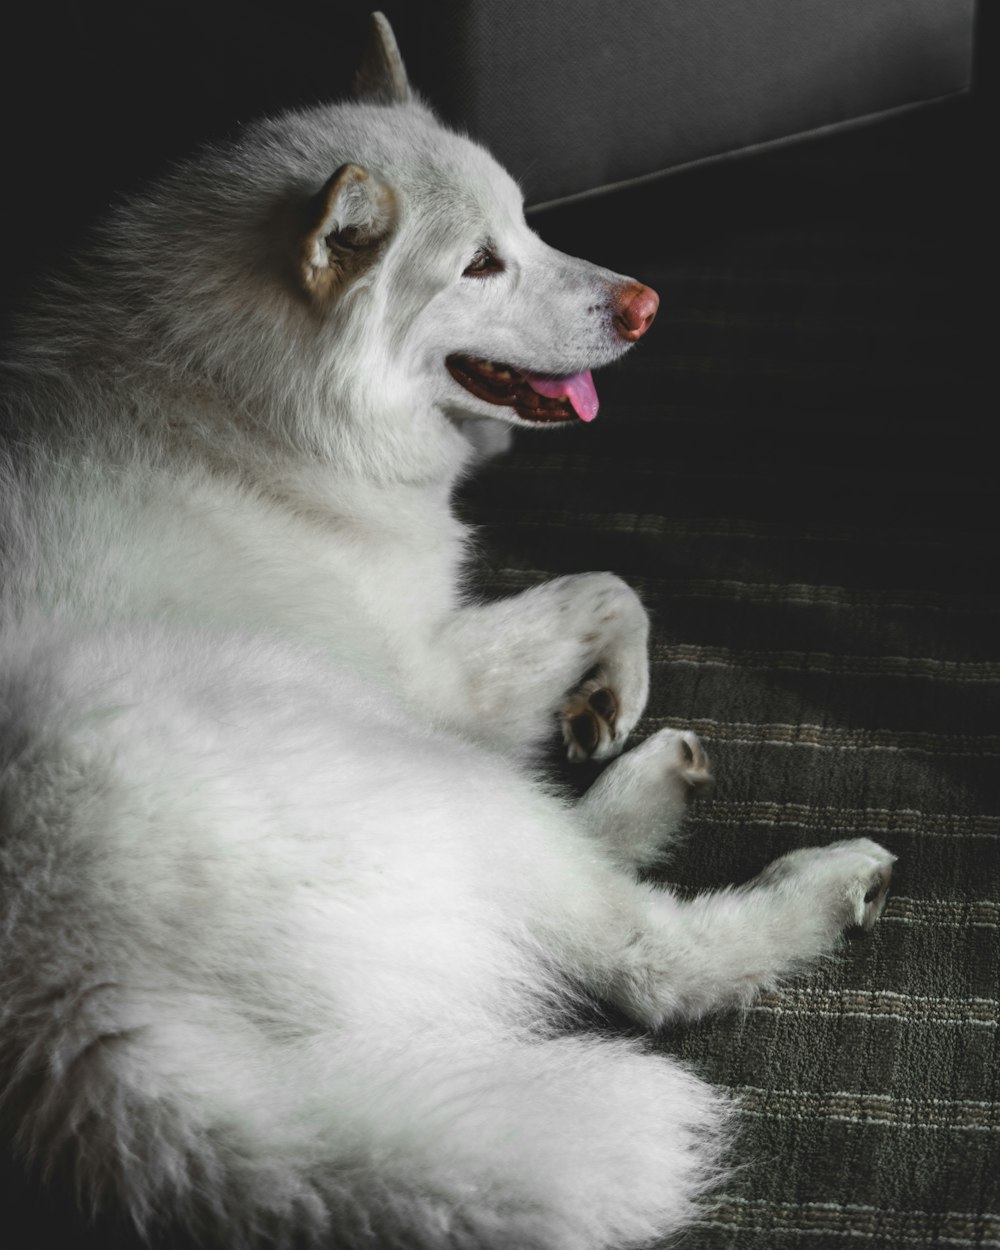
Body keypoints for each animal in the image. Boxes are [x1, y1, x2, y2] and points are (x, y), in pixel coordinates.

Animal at [0, 12, 890, 1250]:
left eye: (525, 222)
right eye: (479, 264)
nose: (645, 304)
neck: (227, 401)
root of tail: (78, 1014)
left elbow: (605, 587)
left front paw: (605, 707)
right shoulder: (433, 676)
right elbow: (611, 582)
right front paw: (614, 684)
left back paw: (650, 786)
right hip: (389, 739)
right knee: (640, 956)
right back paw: (814, 879)